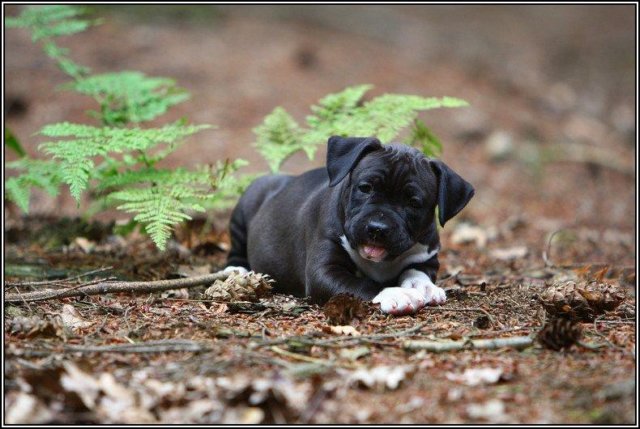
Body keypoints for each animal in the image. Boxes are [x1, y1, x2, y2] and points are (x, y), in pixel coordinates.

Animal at [224, 136, 474, 315]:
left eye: (413, 203)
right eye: (365, 188)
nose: (377, 228)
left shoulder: (427, 256)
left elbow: (417, 270)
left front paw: (423, 287)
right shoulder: (324, 271)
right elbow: (362, 284)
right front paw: (396, 293)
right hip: (247, 203)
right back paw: (236, 270)